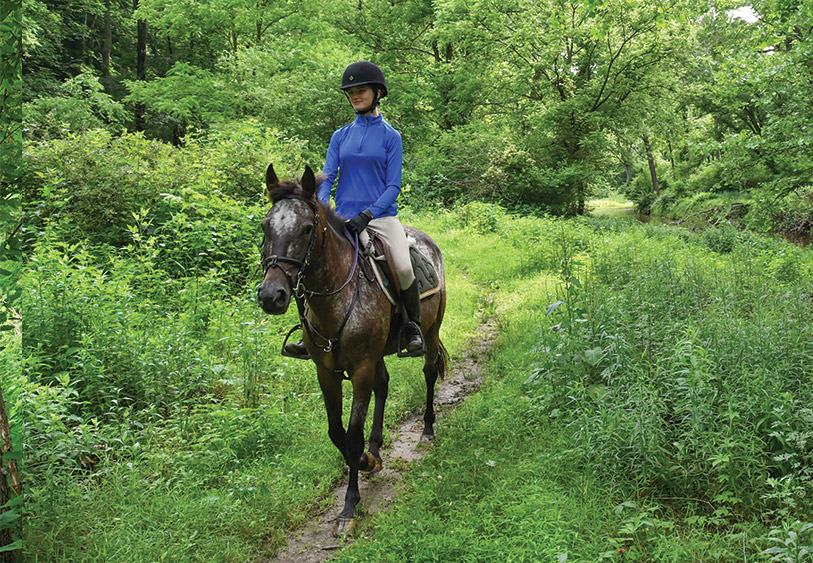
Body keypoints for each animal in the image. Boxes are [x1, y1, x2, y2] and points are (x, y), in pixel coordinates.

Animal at [256, 164, 448, 536]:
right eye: (265, 226)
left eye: (306, 228)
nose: (271, 296)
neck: (337, 297)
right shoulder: (327, 372)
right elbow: (337, 433)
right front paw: (368, 460)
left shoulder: (360, 368)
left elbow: (352, 435)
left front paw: (349, 505)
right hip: (377, 355)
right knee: (383, 385)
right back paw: (378, 448)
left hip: (431, 332)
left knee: (429, 373)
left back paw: (427, 431)